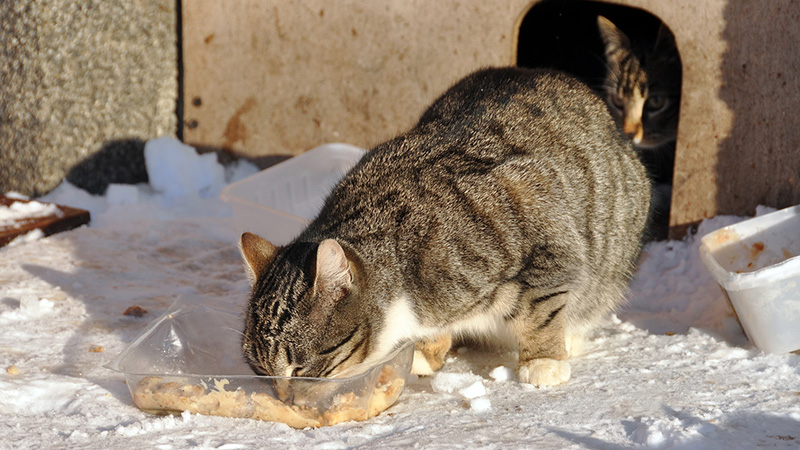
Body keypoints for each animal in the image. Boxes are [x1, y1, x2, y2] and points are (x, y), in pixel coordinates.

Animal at [241, 67, 652, 386]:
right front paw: (425, 351)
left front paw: (543, 362)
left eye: (298, 368)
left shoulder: (538, 217)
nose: (285, 398)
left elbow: (541, 308)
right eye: (262, 374)